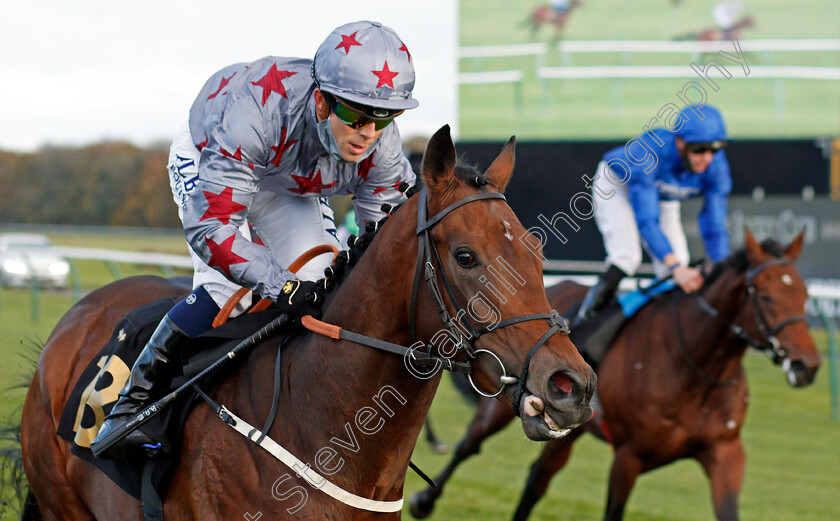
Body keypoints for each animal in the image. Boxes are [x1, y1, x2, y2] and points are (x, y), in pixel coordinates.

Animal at [410, 232, 824, 520]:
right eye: (765, 296)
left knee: (536, 480)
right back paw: (424, 498)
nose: (808, 365)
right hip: (506, 405)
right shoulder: (629, 456)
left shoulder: (726, 453)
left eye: (804, 294)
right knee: (469, 445)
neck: (698, 370)